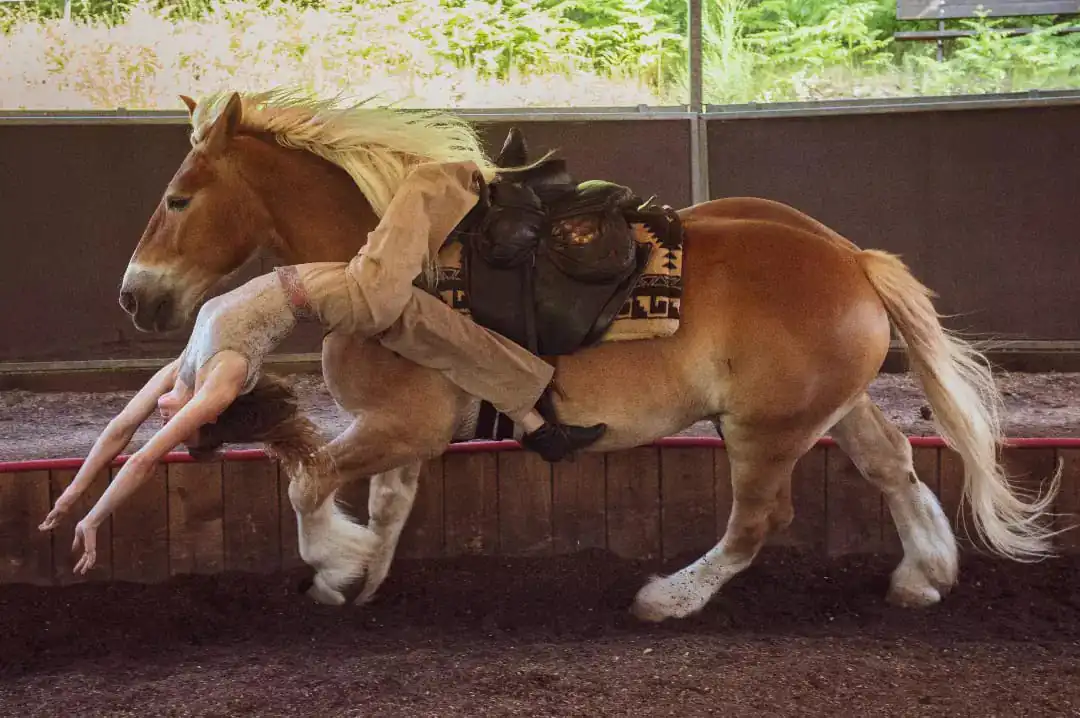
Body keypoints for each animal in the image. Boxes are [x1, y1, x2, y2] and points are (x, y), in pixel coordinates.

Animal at [116, 87, 1054, 617]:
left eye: (179, 197)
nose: (135, 295)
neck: (381, 258)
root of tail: (851, 259)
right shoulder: (400, 433)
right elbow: (385, 507)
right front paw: (357, 579)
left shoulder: (401, 427)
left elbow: (309, 483)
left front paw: (334, 563)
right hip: (830, 407)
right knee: (893, 465)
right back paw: (924, 574)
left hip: (764, 430)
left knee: (760, 520)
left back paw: (669, 599)